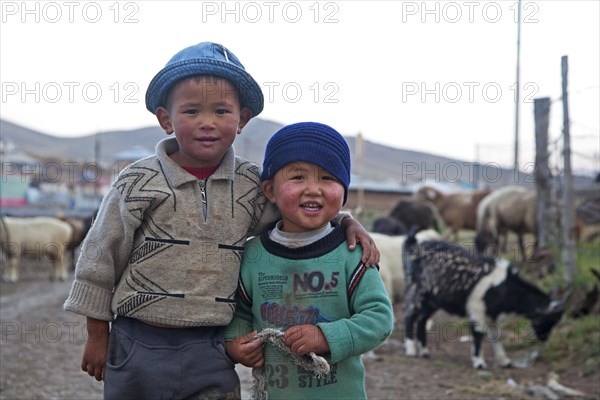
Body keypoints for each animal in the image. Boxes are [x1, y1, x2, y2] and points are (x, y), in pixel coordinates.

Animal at [400, 228, 564, 368]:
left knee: (422, 319)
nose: (544, 338)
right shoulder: (477, 307)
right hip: (417, 290)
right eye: (547, 320)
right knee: (410, 316)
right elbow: (479, 334)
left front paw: (504, 361)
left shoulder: (492, 313)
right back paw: (411, 349)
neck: (504, 286)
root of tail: (414, 247)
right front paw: (479, 362)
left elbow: (496, 335)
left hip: (432, 300)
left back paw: (424, 351)